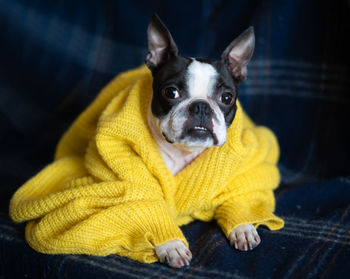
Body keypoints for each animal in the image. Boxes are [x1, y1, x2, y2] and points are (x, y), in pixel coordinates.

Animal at [145, 14, 260, 270]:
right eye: (171, 92)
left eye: (226, 97)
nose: (200, 106)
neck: (184, 153)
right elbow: (151, 210)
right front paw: (171, 246)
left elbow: (233, 199)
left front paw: (243, 227)